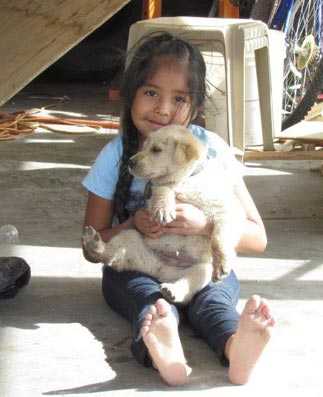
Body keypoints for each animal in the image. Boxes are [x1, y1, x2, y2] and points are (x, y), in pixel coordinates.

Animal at [83, 125, 246, 302]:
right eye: (143, 146)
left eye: (156, 150)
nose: (130, 162)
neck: (186, 179)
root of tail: (163, 272)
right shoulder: (160, 186)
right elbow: (163, 189)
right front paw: (162, 209)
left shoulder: (227, 210)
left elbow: (219, 238)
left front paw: (222, 263)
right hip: (129, 237)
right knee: (111, 255)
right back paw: (94, 245)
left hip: (203, 270)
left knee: (188, 284)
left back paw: (172, 290)